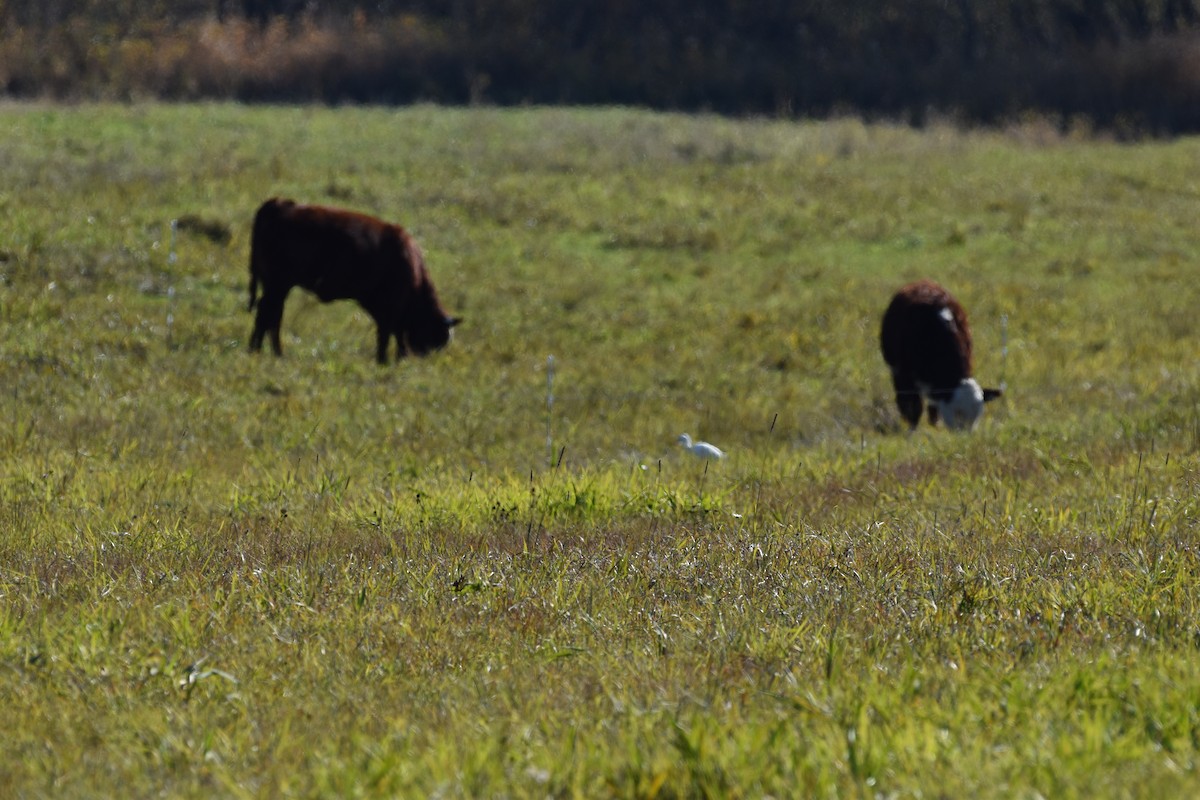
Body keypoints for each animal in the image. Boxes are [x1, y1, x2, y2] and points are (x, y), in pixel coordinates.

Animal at [247, 197, 459, 364]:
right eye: (437, 335)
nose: (425, 357)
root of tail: (278, 204)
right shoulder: (390, 308)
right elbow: (388, 334)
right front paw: (385, 360)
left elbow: (393, 333)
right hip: (278, 285)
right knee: (268, 315)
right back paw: (263, 352)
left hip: (276, 287)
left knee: (271, 315)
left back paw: (264, 352)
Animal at [880, 279, 1002, 431]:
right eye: (957, 412)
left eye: (977, 416)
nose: (964, 435)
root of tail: (923, 282)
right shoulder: (903, 374)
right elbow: (912, 408)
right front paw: (911, 430)